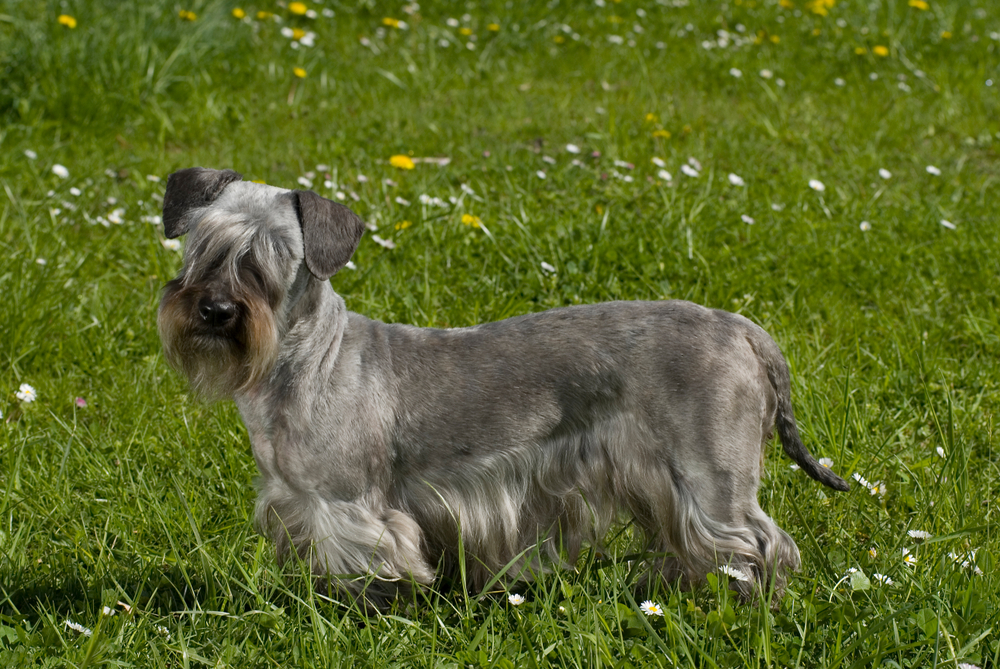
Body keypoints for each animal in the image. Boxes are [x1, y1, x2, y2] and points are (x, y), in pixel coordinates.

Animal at [160, 166, 848, 604]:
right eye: (202, 244)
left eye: (275, 256)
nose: (215, 310)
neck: (308, 361)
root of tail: (745, 330)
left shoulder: (350, 506)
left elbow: (372, 571)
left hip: (713, 477)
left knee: (759, 542)